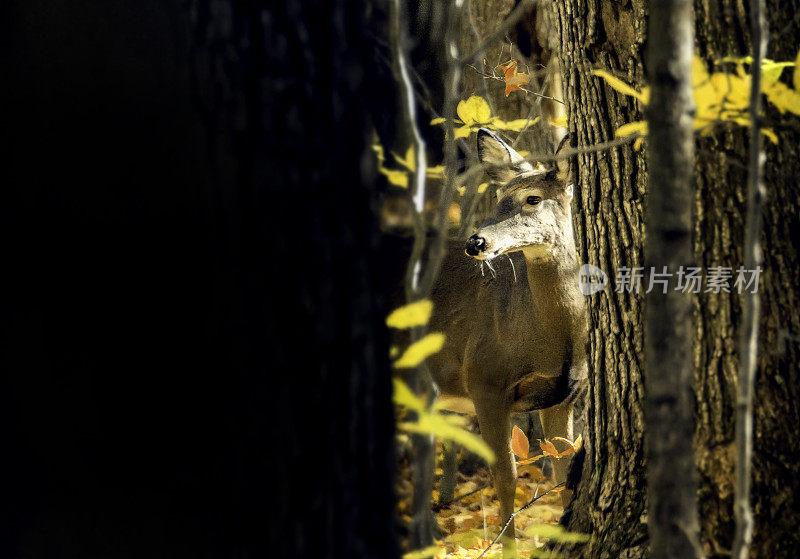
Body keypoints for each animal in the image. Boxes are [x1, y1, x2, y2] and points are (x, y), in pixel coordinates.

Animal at [424, 130, 588, 556]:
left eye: (533, 198)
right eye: (498, 197)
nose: (476, 242)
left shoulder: (564, 395)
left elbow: (564, 473)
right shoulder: (484, 381)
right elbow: (506, 478)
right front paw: (509, 547)